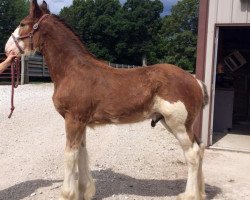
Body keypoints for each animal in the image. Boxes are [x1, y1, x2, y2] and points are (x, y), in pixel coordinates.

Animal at [5, 0, 209, 199]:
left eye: (22, 24)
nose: (7, 49)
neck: (72, 70)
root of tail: (195, 80)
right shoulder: (80, 122)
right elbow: (81, 153)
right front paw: (84, 191)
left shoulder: (73, 120)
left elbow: (70, 155)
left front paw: (68, 193)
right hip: (173, 123)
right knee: (199, 148)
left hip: (178, 125)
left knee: (192, 154)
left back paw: (189, 195)